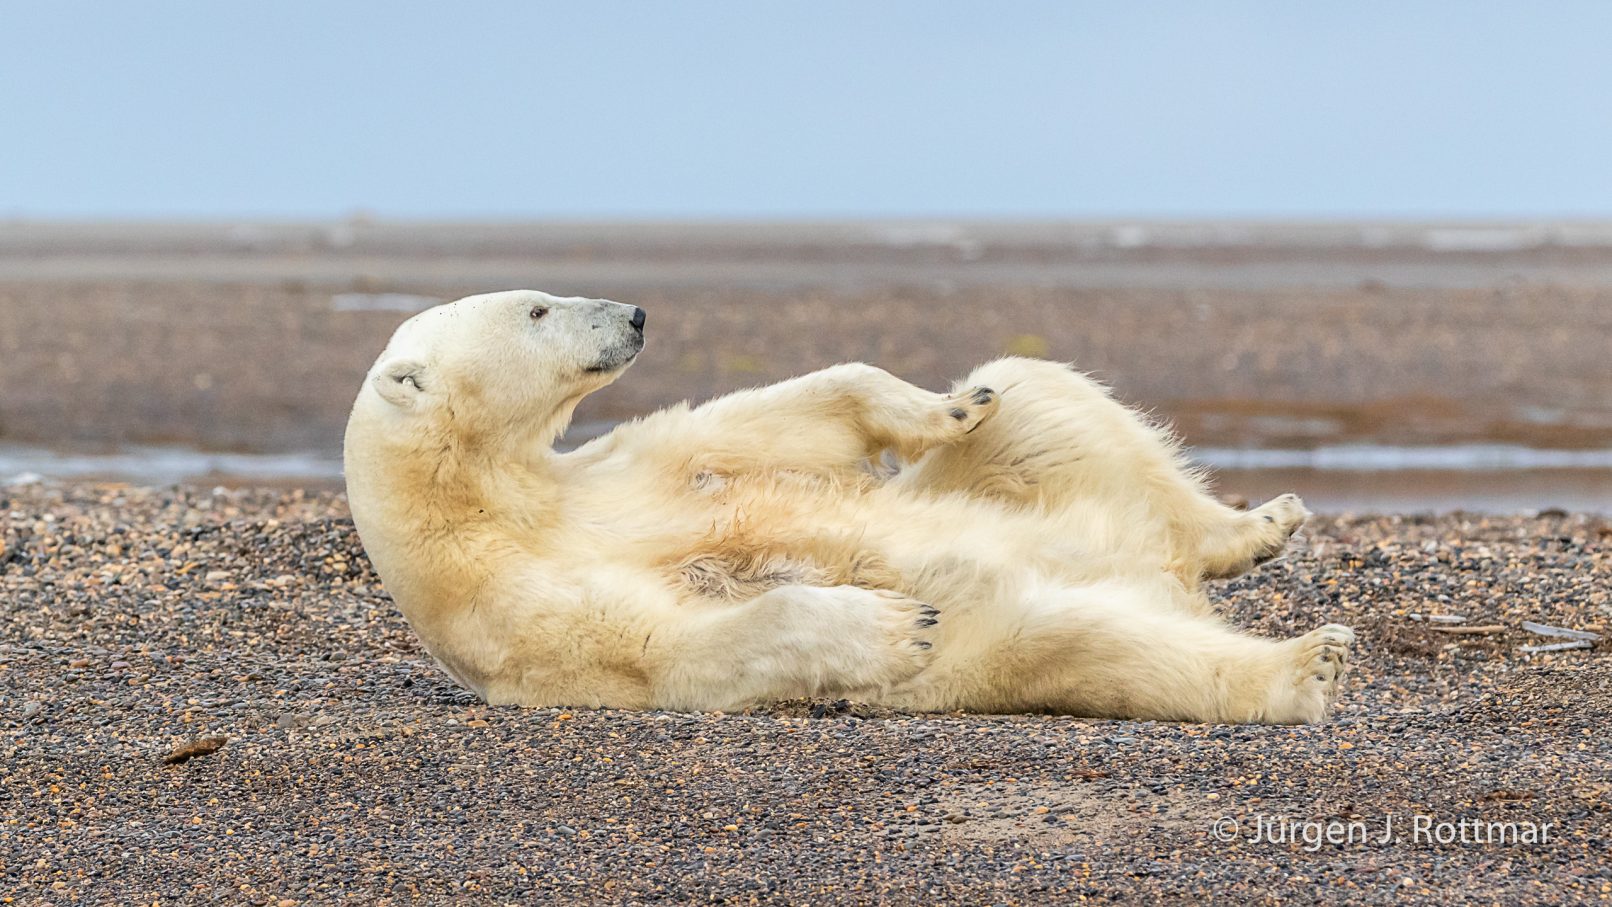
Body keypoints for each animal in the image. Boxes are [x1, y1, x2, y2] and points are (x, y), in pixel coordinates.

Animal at [343, 289, 1353, 724]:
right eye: (538, 310)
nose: (634, 313)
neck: (494, 501)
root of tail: (1157, 570)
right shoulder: (517, 610)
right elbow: (680, 647)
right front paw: (895, 623)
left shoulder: (613, 469)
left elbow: (768, 426)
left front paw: (946, 406)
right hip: (1019, 632)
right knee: (1109, 646)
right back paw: (1306, 667)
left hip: (1053, 482)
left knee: (1038, 393)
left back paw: (1254, 526)